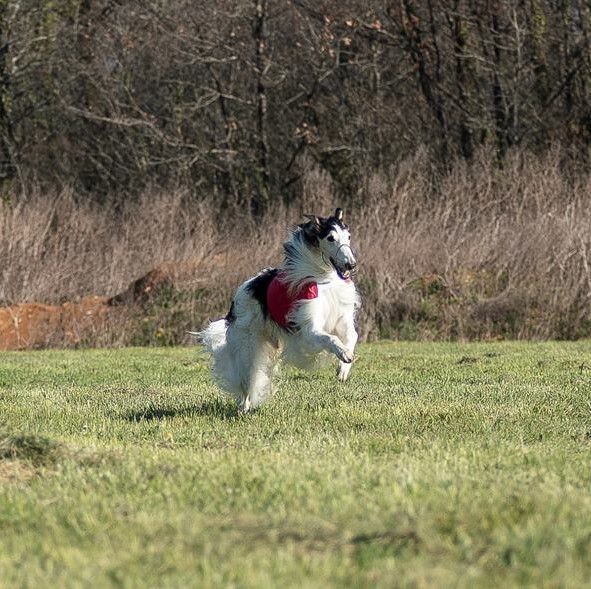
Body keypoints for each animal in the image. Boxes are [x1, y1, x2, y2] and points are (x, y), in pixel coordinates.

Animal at [198, 209, 360, 412]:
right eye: (330, 238)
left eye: (349, 236)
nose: (351, 264)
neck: (325, 281)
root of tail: (239, 294)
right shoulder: (308, 331)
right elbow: (330, 338)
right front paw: (343, 353)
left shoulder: (341, 317)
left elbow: (352, 335)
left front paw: (343, 367)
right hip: (248, 349)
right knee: (246, 382)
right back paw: (244, 408)